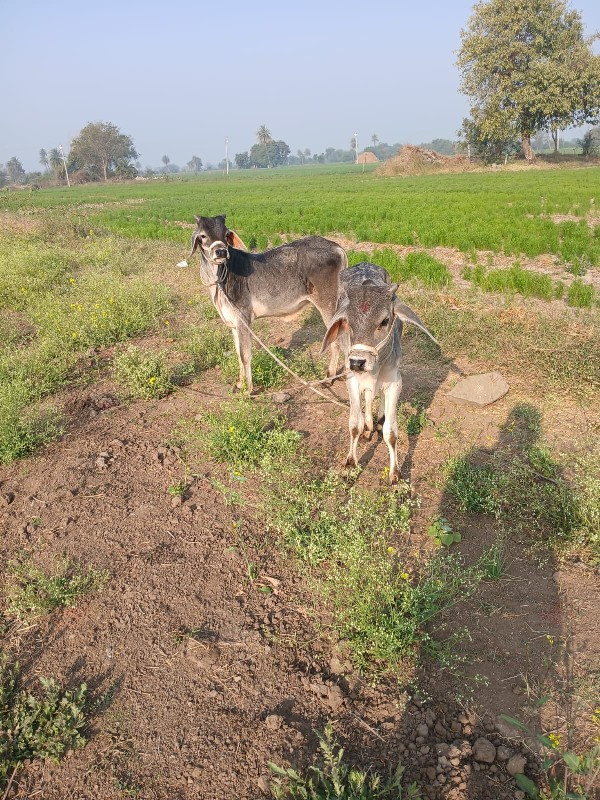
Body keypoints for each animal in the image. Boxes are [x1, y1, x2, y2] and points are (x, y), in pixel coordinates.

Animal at [188, 216, 346, 394]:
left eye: (225, 233)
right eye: (203, 235)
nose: (221, 252)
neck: (219, 280)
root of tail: (336, 246)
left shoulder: (244, 320)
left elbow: (245, 355)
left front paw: (248, 390)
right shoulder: (234, 324)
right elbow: (238, 354)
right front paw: (239, 384)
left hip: (329, 306)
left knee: (338, 341)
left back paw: (330, 377)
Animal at [324, 266, 436, 484]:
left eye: (384, 321)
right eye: (347, 322)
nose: (357, 362)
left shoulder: (395, 383)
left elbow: (390, 433)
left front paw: (395, 473)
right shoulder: (352, 380)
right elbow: (354, 425)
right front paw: (350, 464)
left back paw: (379, 418)